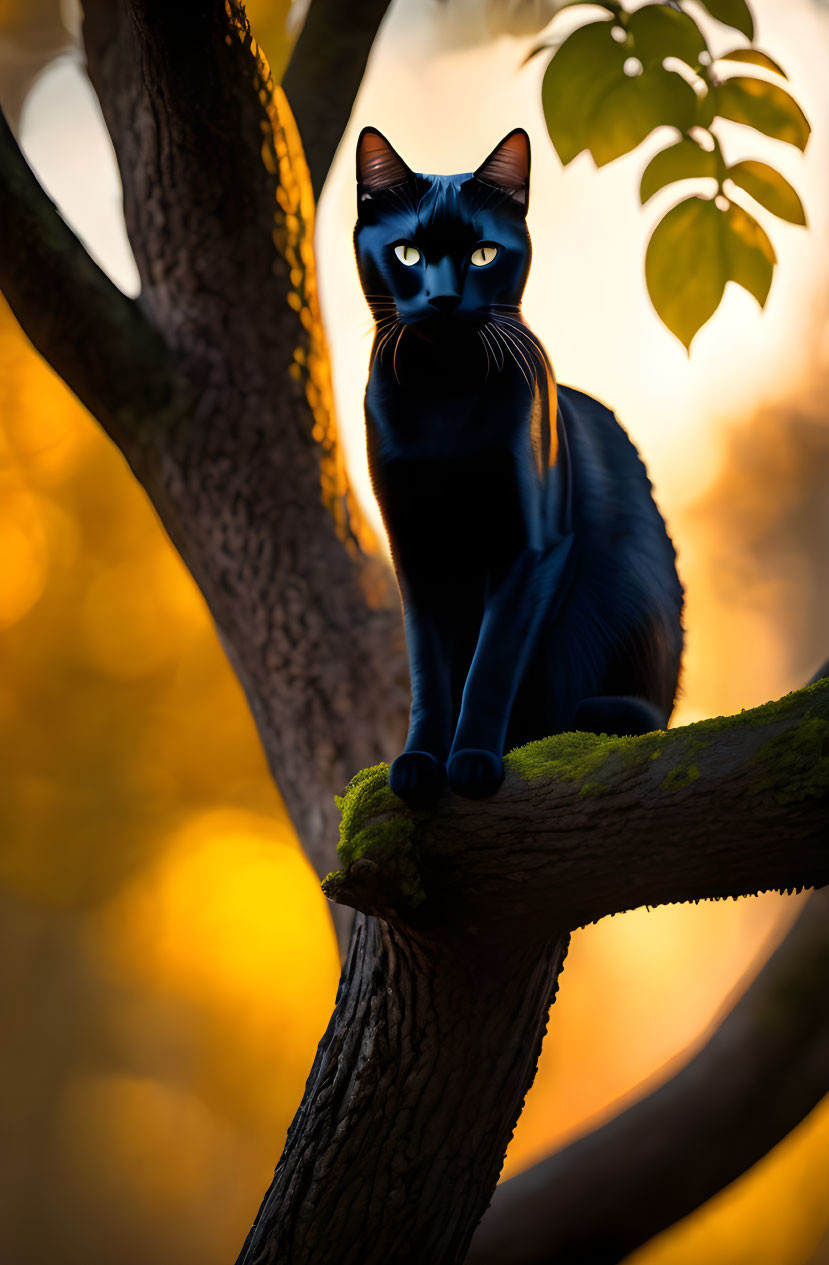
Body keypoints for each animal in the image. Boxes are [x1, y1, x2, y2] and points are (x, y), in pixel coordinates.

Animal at [354, 125, 683, 799]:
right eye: (407, 254)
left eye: (483, 254)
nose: (444, 298)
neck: (443, 396)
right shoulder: (414, 551)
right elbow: (432, 674)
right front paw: (420, 762)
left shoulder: (531, 547)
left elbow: (491, 665)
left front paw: (474, 760)